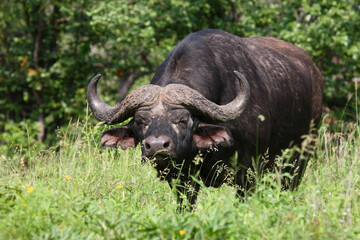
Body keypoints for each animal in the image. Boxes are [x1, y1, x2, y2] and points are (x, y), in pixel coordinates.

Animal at [87, 29, 324, 209]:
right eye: (139, 121)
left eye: (183, 119)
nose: (156, 146)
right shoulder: (181, 180)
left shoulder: (246, 173)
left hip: (298, 160)